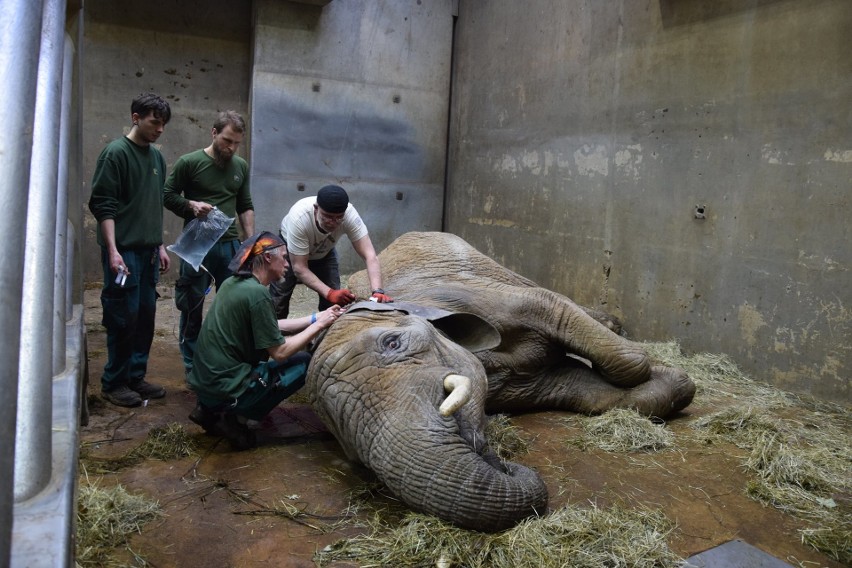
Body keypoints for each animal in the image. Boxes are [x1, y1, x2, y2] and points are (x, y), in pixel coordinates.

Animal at [302, 231, 696, 532]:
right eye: (339, 427)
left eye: (392, 344)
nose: (502, 462)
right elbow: (579, 388)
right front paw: (673, 383)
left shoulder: (469, 294)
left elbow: (551, 308)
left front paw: (663, 371)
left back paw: (613, 324)